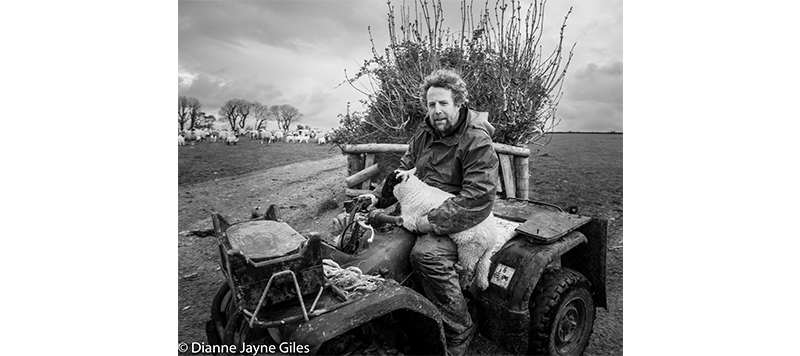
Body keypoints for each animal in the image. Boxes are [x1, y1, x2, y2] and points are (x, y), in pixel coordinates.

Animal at [380, 168, 520, 290]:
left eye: (389, 181)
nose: (381, 195)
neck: (412, 192)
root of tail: (492, 240)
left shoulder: (410, 219)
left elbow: (402, 222)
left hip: (469, 250)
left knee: (469, 270)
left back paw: (463, 283)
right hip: (481, 253)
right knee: (483, 267)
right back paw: (482, 285)